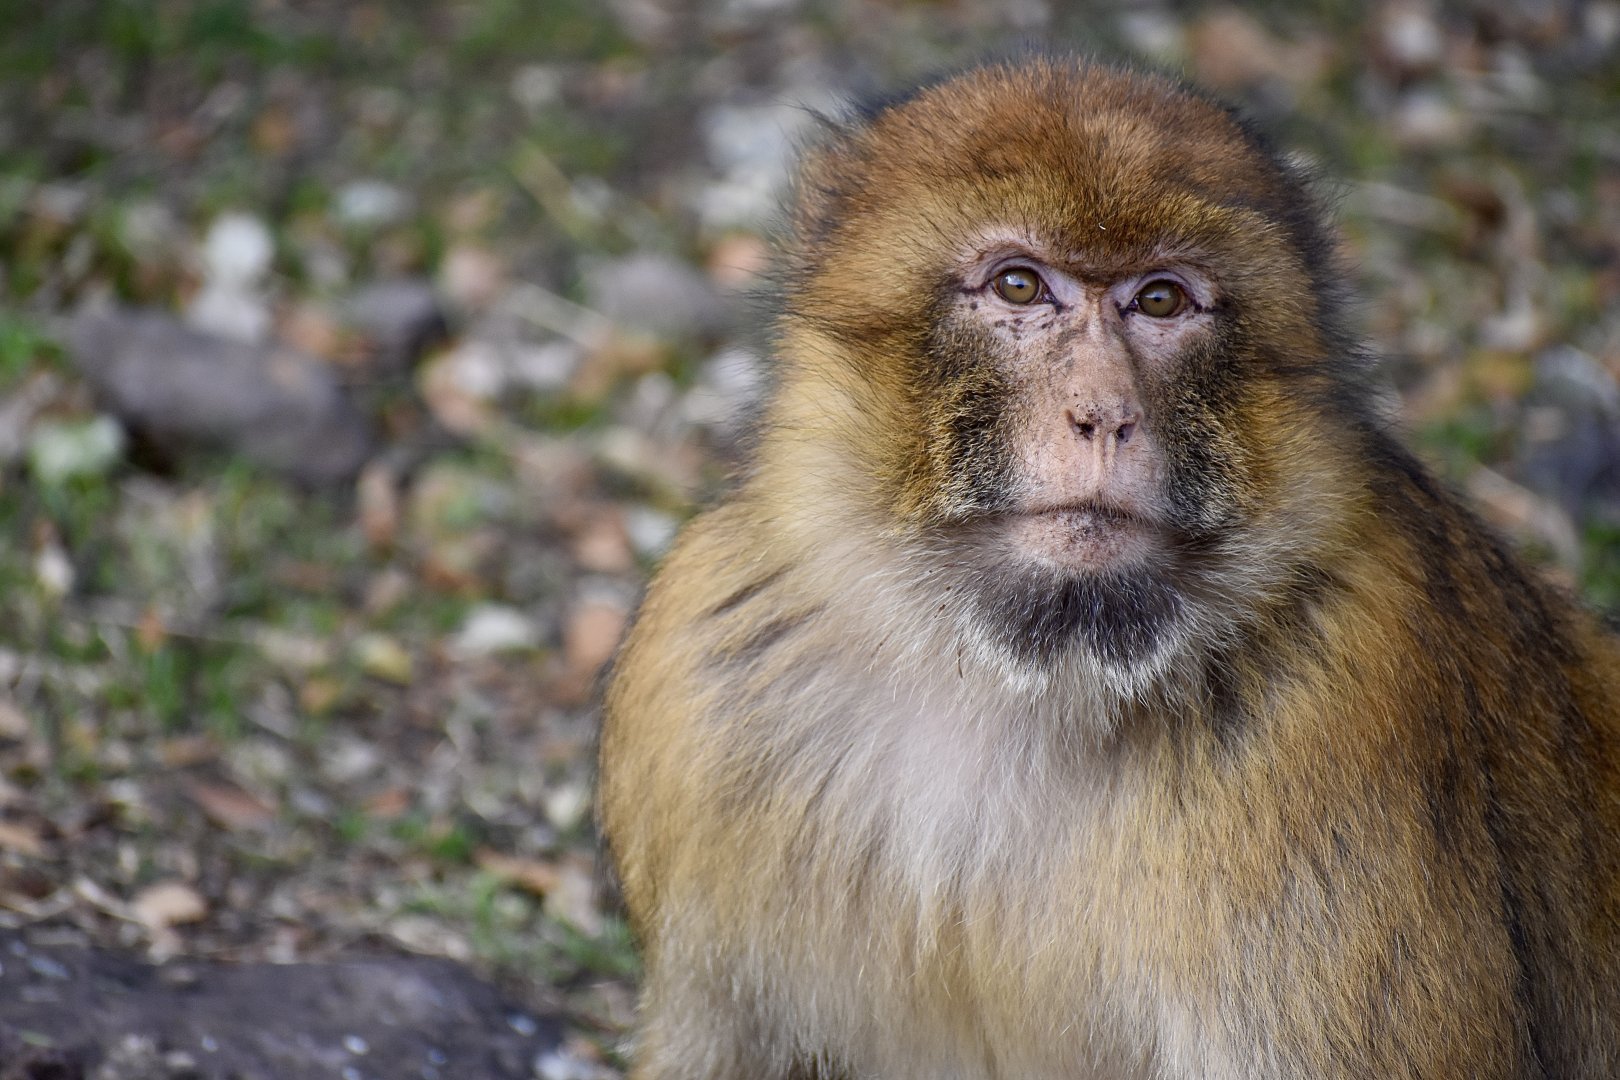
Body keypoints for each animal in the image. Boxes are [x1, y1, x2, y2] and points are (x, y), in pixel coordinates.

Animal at [597, 59, 1620, 1079]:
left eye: (1160, 301)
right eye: (1020, 286)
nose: (1106, 412)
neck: (1019, 682)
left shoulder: (1343, 716)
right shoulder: (700, 681)